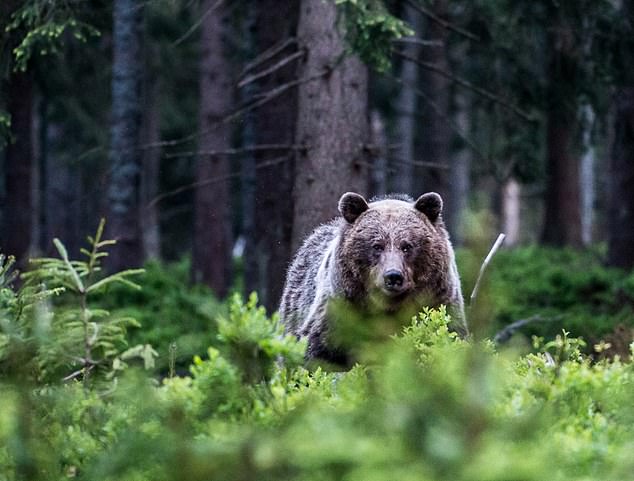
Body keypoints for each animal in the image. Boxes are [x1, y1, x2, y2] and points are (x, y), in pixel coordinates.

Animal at [280, 191, 464, 364]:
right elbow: (316, 352)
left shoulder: (440, 303)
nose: (393, 276)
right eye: (377, 246)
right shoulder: (339, 311)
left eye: (407, 246)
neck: (388, 308)